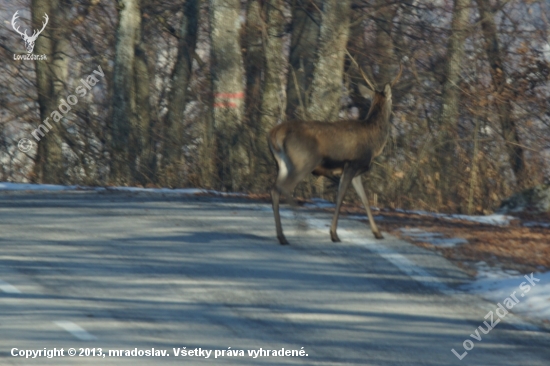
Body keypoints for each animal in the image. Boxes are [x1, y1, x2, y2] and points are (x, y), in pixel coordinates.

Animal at [268, 64, 404, 244]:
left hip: (282, 165)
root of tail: (275, 133)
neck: (373, 142)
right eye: (392, 99)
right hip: (303, 162)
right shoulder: (351, 164)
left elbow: (365, 200)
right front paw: (334, 234)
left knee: (275, 189)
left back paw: (282, 236)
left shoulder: (356, 172)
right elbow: (340, 198)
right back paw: (300, 226)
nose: (396, 113)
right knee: (284, 188)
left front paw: (377, 233)